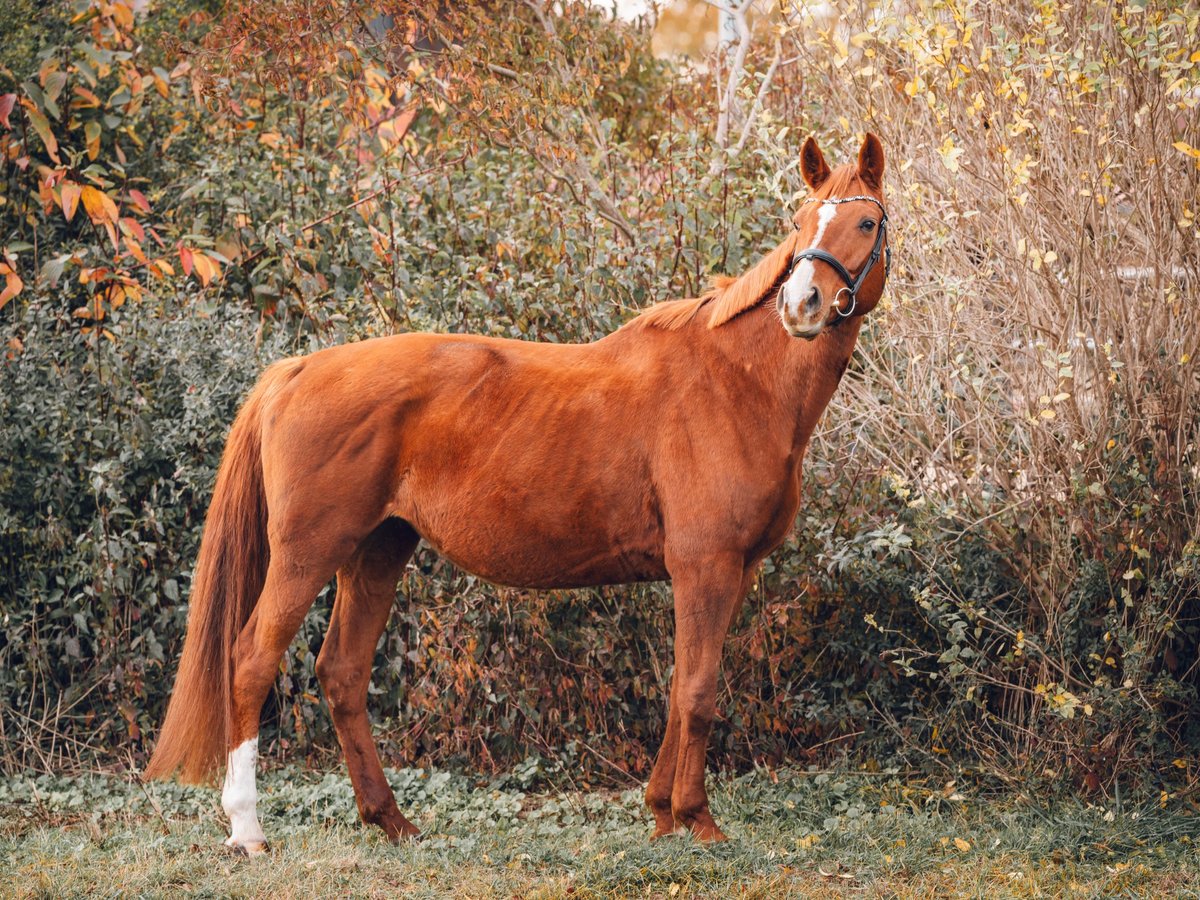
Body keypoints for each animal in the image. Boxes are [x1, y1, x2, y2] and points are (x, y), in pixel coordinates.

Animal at [145, 133, 892, 854]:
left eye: (865, 221)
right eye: (800, 221)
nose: (801, 305)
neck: (736, 381)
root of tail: (295, 369)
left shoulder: (732, 571)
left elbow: (682, 686)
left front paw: (661, 813)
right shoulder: (704, 566)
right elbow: (699, 691)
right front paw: (697, 819)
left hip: (378, 552)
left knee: (343, 674)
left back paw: (391, 821)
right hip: (308, 554)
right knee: (250, 662)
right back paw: (248, 829)